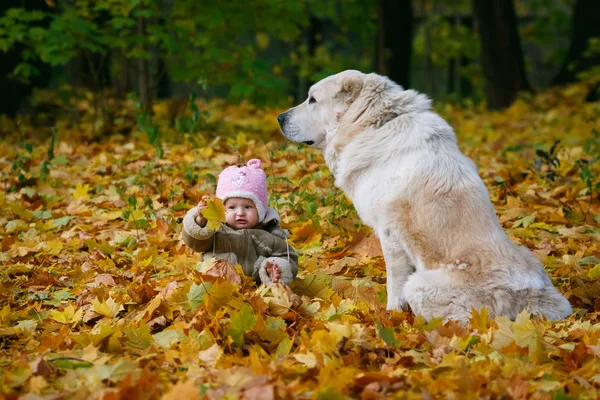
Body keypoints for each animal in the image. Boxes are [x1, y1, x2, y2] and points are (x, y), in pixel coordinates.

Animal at [278, 70, 576, 324]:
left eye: (312, 100)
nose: (280, 117)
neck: (375, 123)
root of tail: (531, 300)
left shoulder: (390, 236)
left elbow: (394, 282)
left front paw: (392, 315)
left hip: (422, 286)